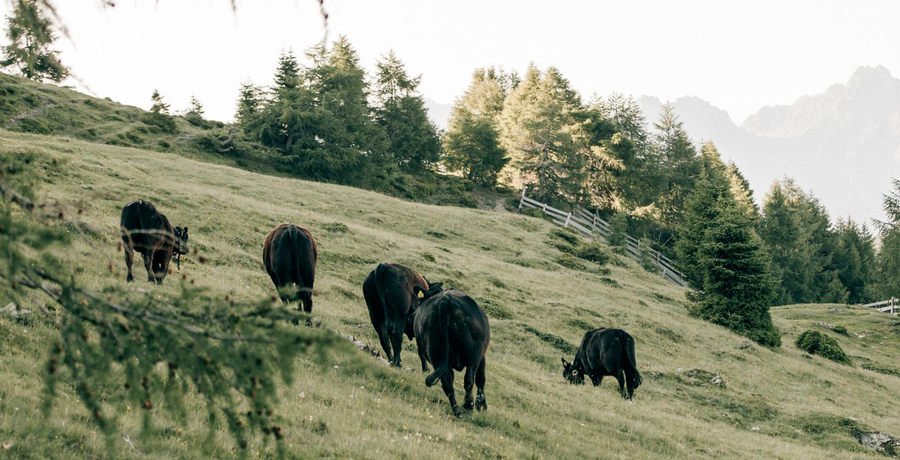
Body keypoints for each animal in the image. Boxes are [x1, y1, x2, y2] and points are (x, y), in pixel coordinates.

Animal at [414, 290, 488, 418]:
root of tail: (444, 301)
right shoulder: (482, 355)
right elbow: (481, 378)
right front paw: (481, 404)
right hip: (474, 355)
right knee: (469, 380)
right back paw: (468, 404)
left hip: (437, 354)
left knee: (447, 384)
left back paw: (457, 411)